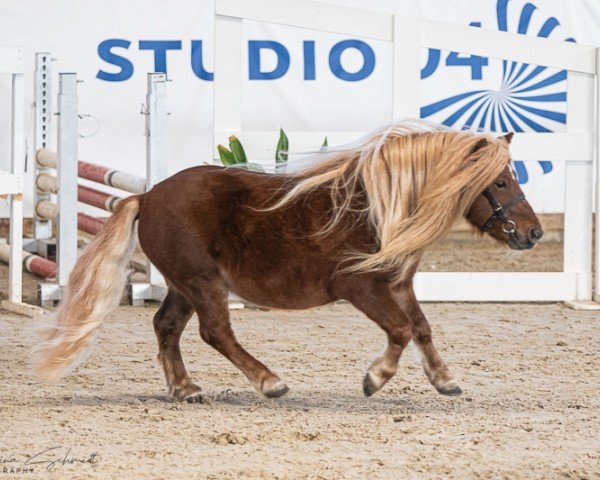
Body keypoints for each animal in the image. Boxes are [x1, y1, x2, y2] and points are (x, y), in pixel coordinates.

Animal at [34, 123, 544, 402]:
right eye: (500, 181)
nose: (533, 232)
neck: (379, 207)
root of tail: (148, 194)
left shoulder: (398, 285)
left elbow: (421, 328)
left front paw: (444, 380)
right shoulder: (362, 288)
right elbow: (400, 331)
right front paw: (375, 379)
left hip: (184, 284)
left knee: (167, 327)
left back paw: (185, 388)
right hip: (202, 282)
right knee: (215, 332)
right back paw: (269, 382)